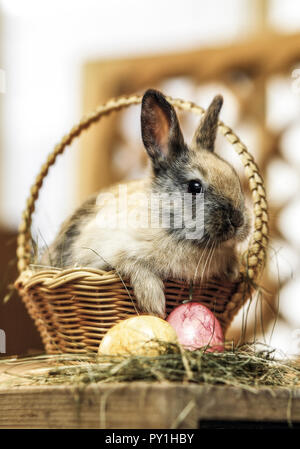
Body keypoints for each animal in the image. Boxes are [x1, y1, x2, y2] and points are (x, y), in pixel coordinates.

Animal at [42, 88, 252, 318]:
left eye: (235, 177)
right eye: (195, 186)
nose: (238, 220)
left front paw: (234, 271)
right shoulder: (103, 254)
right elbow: (135, 265)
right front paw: (154, 304)